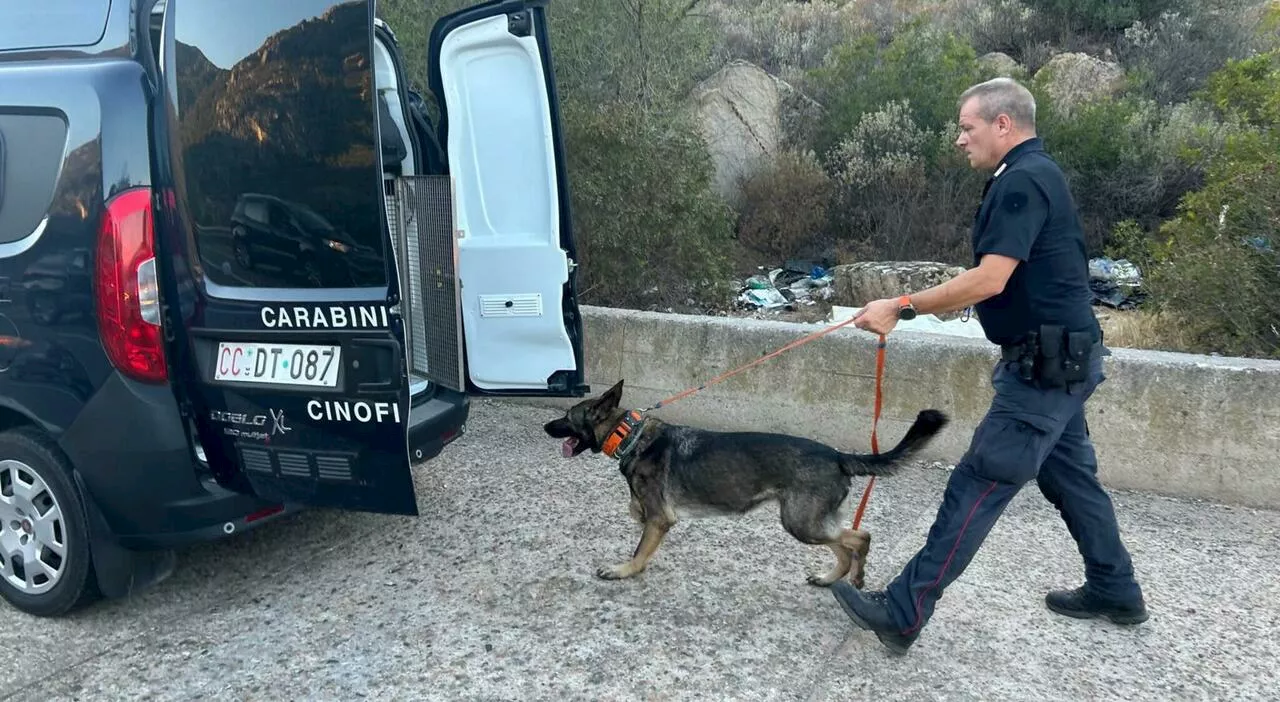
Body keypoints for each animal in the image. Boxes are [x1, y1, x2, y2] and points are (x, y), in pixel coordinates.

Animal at [545, 381, 947, 589]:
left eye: (566, 417)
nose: (546, 427)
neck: (630, 436)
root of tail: (836, 454)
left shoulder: (659, 520)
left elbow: (639, 551)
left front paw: (623, 571)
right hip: (809, 522)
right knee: (844, 546)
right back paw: (830, 578)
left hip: (800, 522)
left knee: (860, 538)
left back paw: (858, 577)